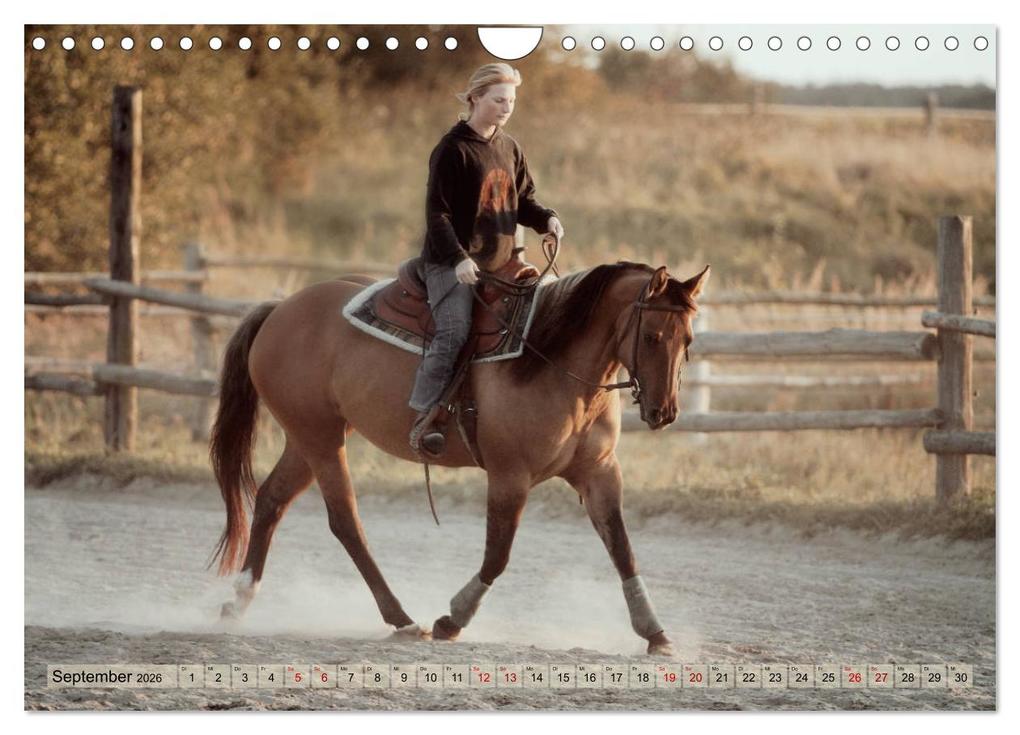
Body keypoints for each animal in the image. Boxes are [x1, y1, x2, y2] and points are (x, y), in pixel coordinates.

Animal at [210, 259, 709, 656]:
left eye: (687, 340)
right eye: (651, 336)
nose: (664, 412)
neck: (553, 361)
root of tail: (280, 310)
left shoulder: (600, 472)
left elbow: (623, 550)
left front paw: (655, 633)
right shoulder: (509, 476)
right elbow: (497, 555)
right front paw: (452, 620)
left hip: (310, 436)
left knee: (272, 501)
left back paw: (237, 603)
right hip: (320, 438)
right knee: (345, 521)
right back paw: (402, 618)